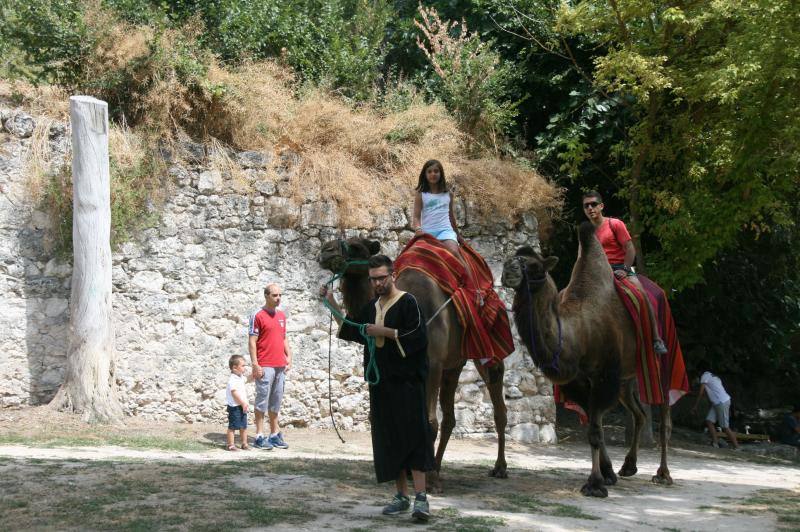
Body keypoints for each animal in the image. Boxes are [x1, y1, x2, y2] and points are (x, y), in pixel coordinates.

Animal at [318, 237, 506, 490]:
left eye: (357, 246)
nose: (325, 251)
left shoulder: (433, 364)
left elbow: (429, 422)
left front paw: (429, 480)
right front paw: (407, 471)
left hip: (483, 351)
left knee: (497, 400)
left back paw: (498, 467)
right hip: (454, 364)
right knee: (450, 417)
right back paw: (435, 467)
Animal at [500, 222, 688, 496]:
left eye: (533, 265)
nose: (507, 269)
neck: (579, 334)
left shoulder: (604, 376)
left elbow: (596, 430)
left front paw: (595, 484)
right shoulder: (577, 383)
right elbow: (592, 425)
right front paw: (607, 474)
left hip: (662, 360)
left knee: (664, 416)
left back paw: (663, 474)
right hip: (627, 377)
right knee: (639, 413)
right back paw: (628, 466)